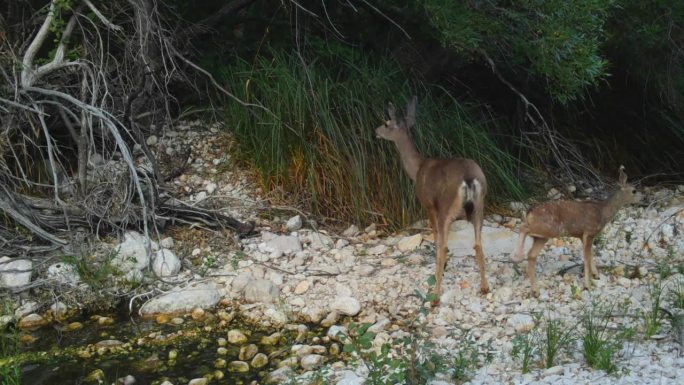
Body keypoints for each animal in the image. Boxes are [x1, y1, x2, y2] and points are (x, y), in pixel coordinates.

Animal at [376, 94, 488, 302]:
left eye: (387, 123)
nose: (376, 131)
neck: (417, 168)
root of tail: (469, 178)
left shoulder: (428, 205)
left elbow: (435, 239)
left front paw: (440, 270)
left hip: (447, 207)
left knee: (444, 246)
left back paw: (435, 295)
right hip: (480, 206)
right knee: (478, 244)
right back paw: (485, 287)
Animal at [512, 166, 640, 296]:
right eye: (634, 190)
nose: (642, 198)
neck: (603, 212)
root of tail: (530, 212)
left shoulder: (583, 235)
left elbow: (590, 254)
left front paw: (596, 275)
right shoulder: (589, 231)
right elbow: (586, 257)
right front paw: (587, 285)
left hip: (542, 236)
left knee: (531, 254)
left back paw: (535, 291)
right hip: (548, 228)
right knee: (523, 228)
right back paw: (516, 257)